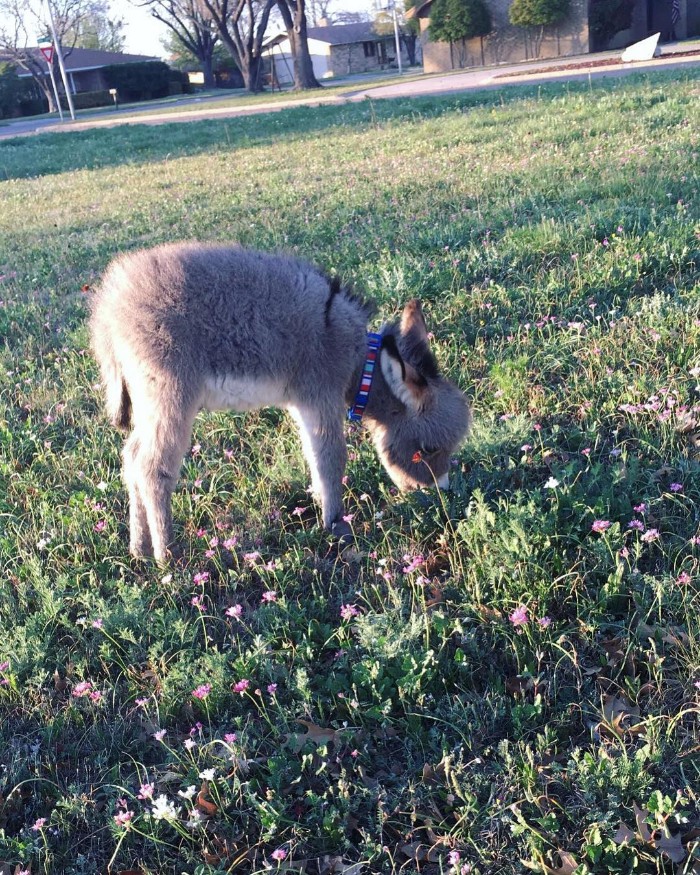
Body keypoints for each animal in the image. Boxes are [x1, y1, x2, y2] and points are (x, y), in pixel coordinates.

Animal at [87, 243, 470, 564]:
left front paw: (320, 505)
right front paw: (337, 527)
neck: (359, 361)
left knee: (131, 459)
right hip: (171, 394)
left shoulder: (303, 404)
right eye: (428, 450)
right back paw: (168, 556)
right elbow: (332, 459)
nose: (441, 497)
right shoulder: (321, 394)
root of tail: (109, 308)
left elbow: (314, 456)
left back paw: (139, 549)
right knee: (152, 468)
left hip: (149, 400)